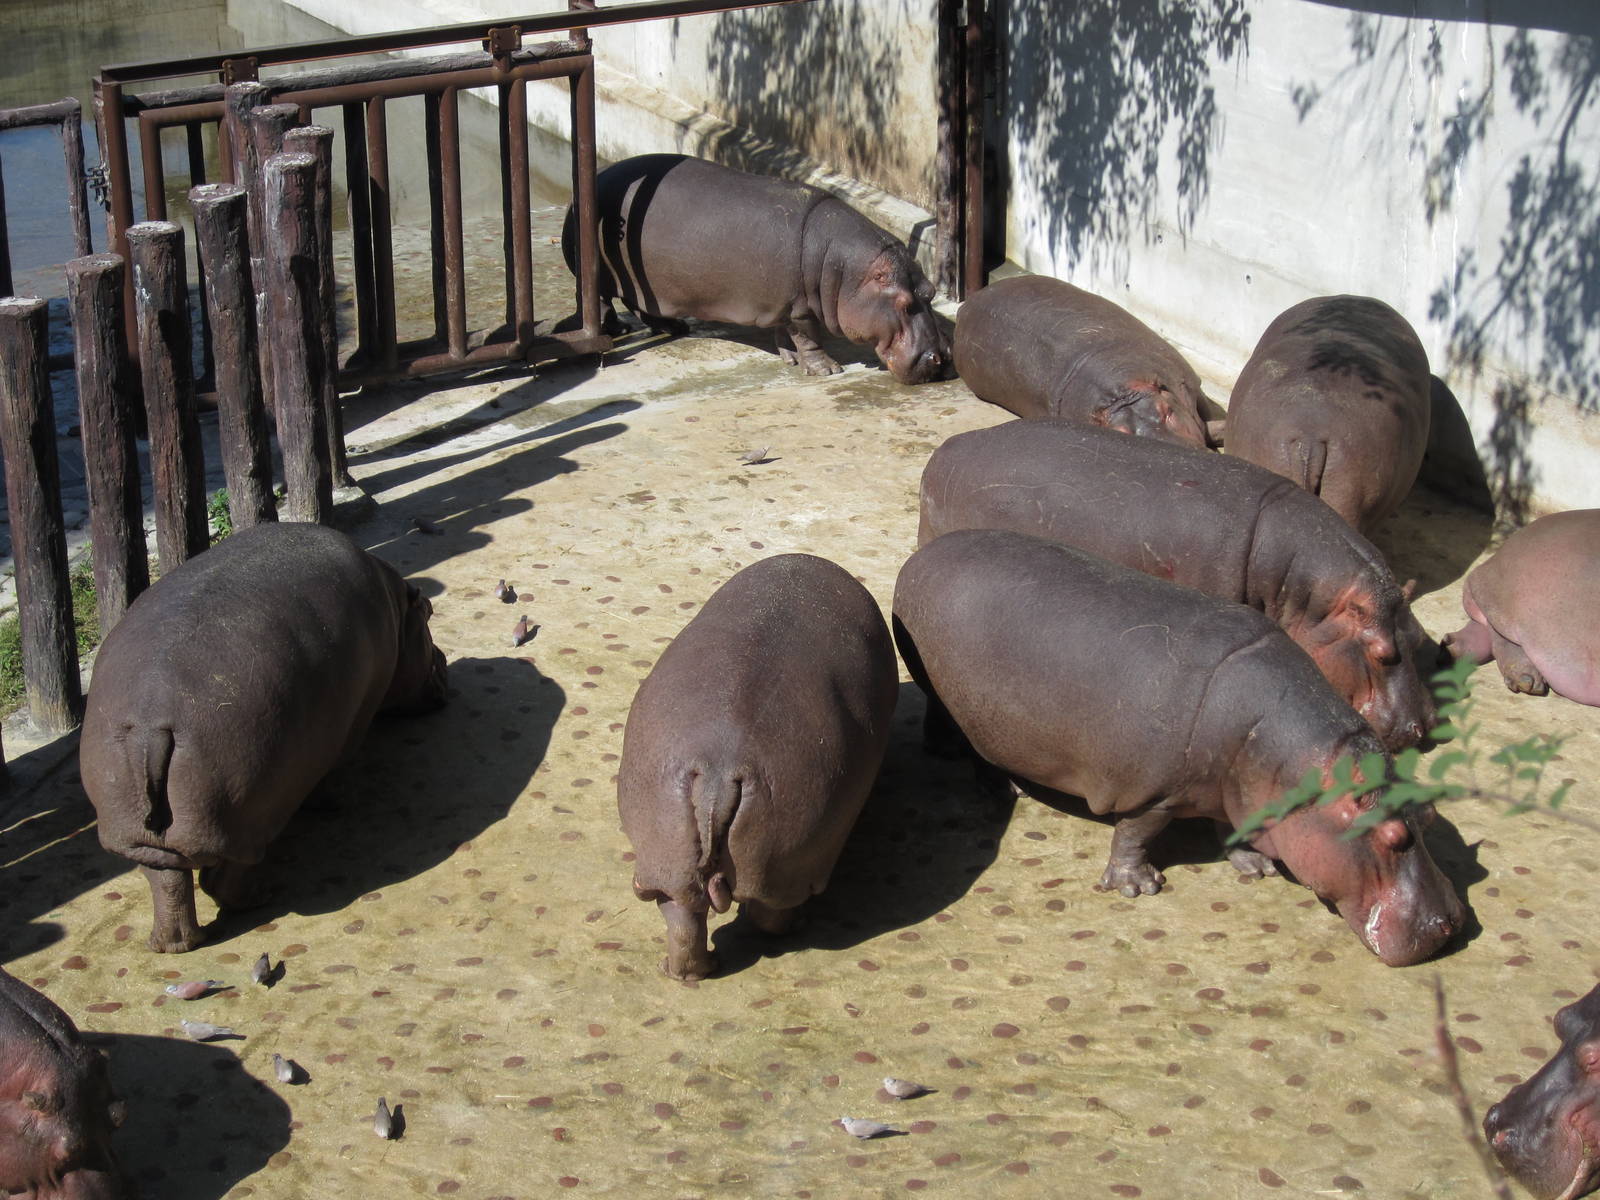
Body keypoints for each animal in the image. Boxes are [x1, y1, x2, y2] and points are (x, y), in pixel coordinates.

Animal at [80, 522, 449, 953]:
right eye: (428, 612)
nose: (444, 660)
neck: (395, 605)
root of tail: (149, 726)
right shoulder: (356, 717)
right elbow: (333, 772)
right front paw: (334, 804)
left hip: (141, 833)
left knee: (167, 881)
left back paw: (172, 945)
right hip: (247, 816)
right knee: (221, 877)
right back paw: (263, 897)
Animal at [562, 153, 948, 383]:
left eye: (930, 292)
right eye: (905, 305)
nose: (939, 358)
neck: (847, 273)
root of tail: (597, 176)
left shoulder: (783, 302)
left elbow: (784, 334)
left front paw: (790, 359)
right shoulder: (801, 308)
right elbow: (809, 336)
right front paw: (826, 369)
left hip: (649, 286)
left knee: (641, 304)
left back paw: (675, 327)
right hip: (602, 278)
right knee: (602, 300)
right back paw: (613, 329)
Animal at [617, 554, 898, 981]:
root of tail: (717, 774)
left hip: (669, 862)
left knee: (684, 920)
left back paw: (687, 972)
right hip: (788, 864)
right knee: (769, 916)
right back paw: (797, 926)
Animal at [893, 530, 1463, 966]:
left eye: (1430, 813)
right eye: (1391, 837)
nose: (1449, 924)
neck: (1293, 764)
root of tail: (919, 559)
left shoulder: (1234, 790)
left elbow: (1230, 825)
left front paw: (1255, 865)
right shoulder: (1156, 792)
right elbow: (1137, 832)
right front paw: (1137, 887)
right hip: (960, 710)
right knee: (975, 753)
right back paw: (1005, 790)